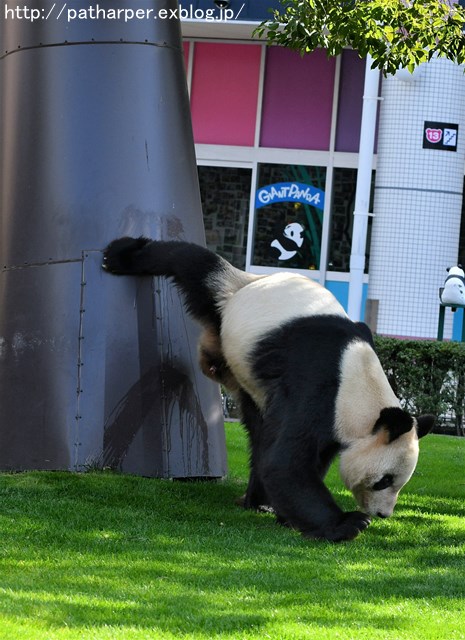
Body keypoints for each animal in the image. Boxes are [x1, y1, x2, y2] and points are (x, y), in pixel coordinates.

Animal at [103, 238, 434, 544]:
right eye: (384, 481)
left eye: (399, 483)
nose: (383, 513)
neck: (358, 378)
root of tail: (255, 279)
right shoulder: (317, 387)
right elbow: (285, 463)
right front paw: (348, 524)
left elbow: (302, 458)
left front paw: (290, 516)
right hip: (229, 300)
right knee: (192, 263)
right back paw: (120, 254)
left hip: (249, 376)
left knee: (259, 430)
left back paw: (258, 502)